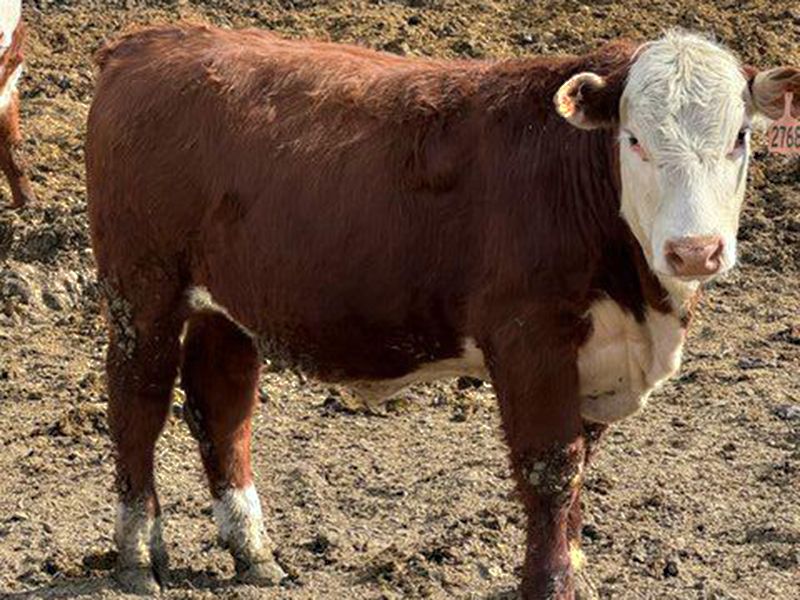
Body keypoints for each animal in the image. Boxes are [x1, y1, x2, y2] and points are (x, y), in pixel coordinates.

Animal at [86, 24, 799, 598]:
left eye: (740, 138)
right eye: (634, 139)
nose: (695, 250)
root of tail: (152, 40)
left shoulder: (597, 359)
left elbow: (577, 473)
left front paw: (575, 571)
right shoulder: (529, 339)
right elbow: (550, 470)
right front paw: (550, 584)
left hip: (229, 302)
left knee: (222, 407)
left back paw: (252, 552)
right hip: (141, 289)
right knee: (137, 404)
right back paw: (137, 556)